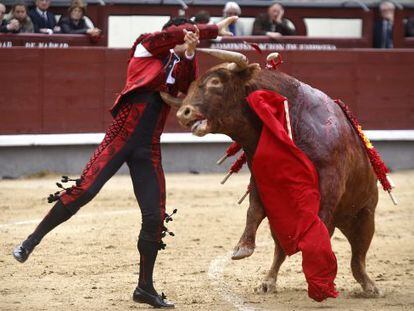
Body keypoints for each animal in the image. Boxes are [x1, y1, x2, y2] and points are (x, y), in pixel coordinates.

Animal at [162, 50, 382, 298]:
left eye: (215, 82)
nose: (183, 112)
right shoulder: (260, 178)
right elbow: (253, 211)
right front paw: (242, 248)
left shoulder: (331, 180)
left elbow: (321, 217)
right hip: (284, 223)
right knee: (280, 250)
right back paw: (268, 281)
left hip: (365, 216)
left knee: (358, 256)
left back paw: (369, 286)